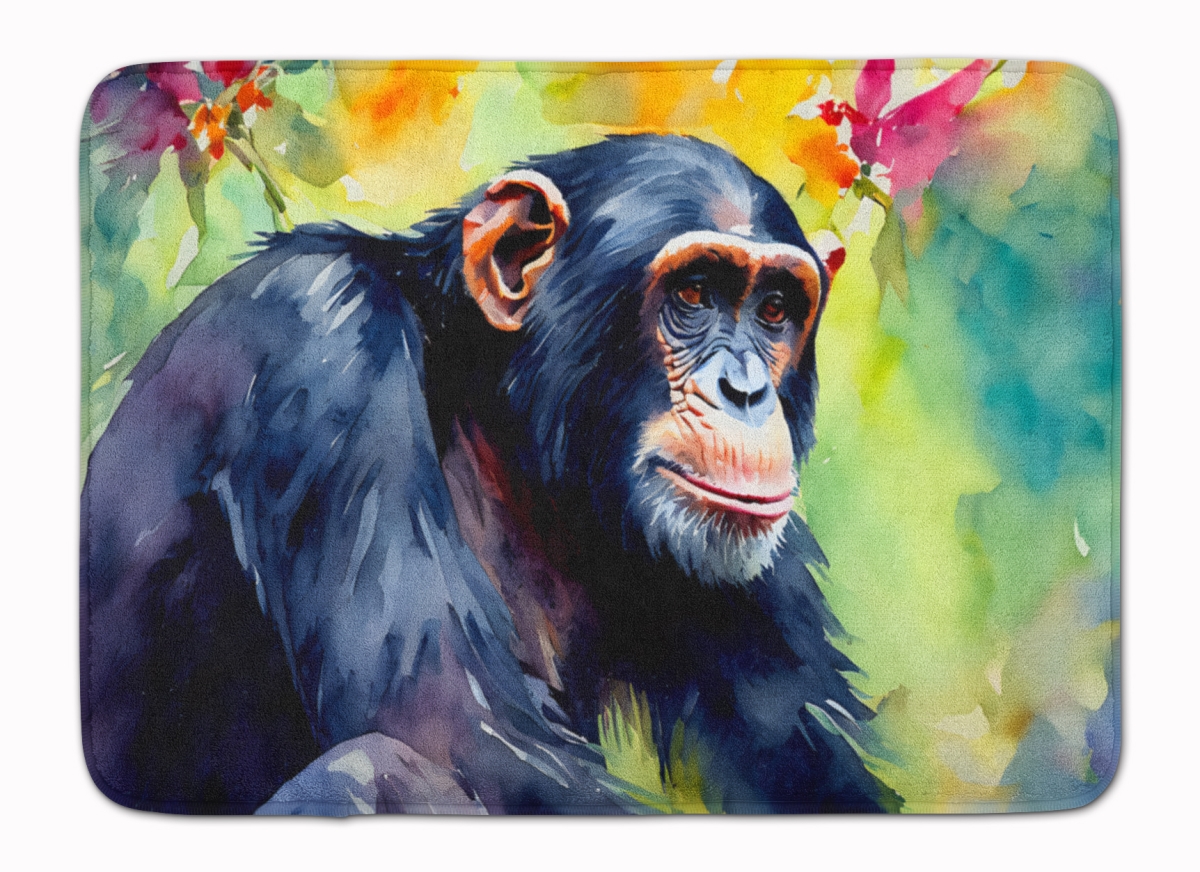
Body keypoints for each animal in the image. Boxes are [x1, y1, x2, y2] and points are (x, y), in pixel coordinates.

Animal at [81, 133, 899, 814]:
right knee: (371, 767)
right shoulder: (319, 340)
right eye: (694, 293)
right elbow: (455, 731)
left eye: (774, 310)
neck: (489, 408)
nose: (747, 390)